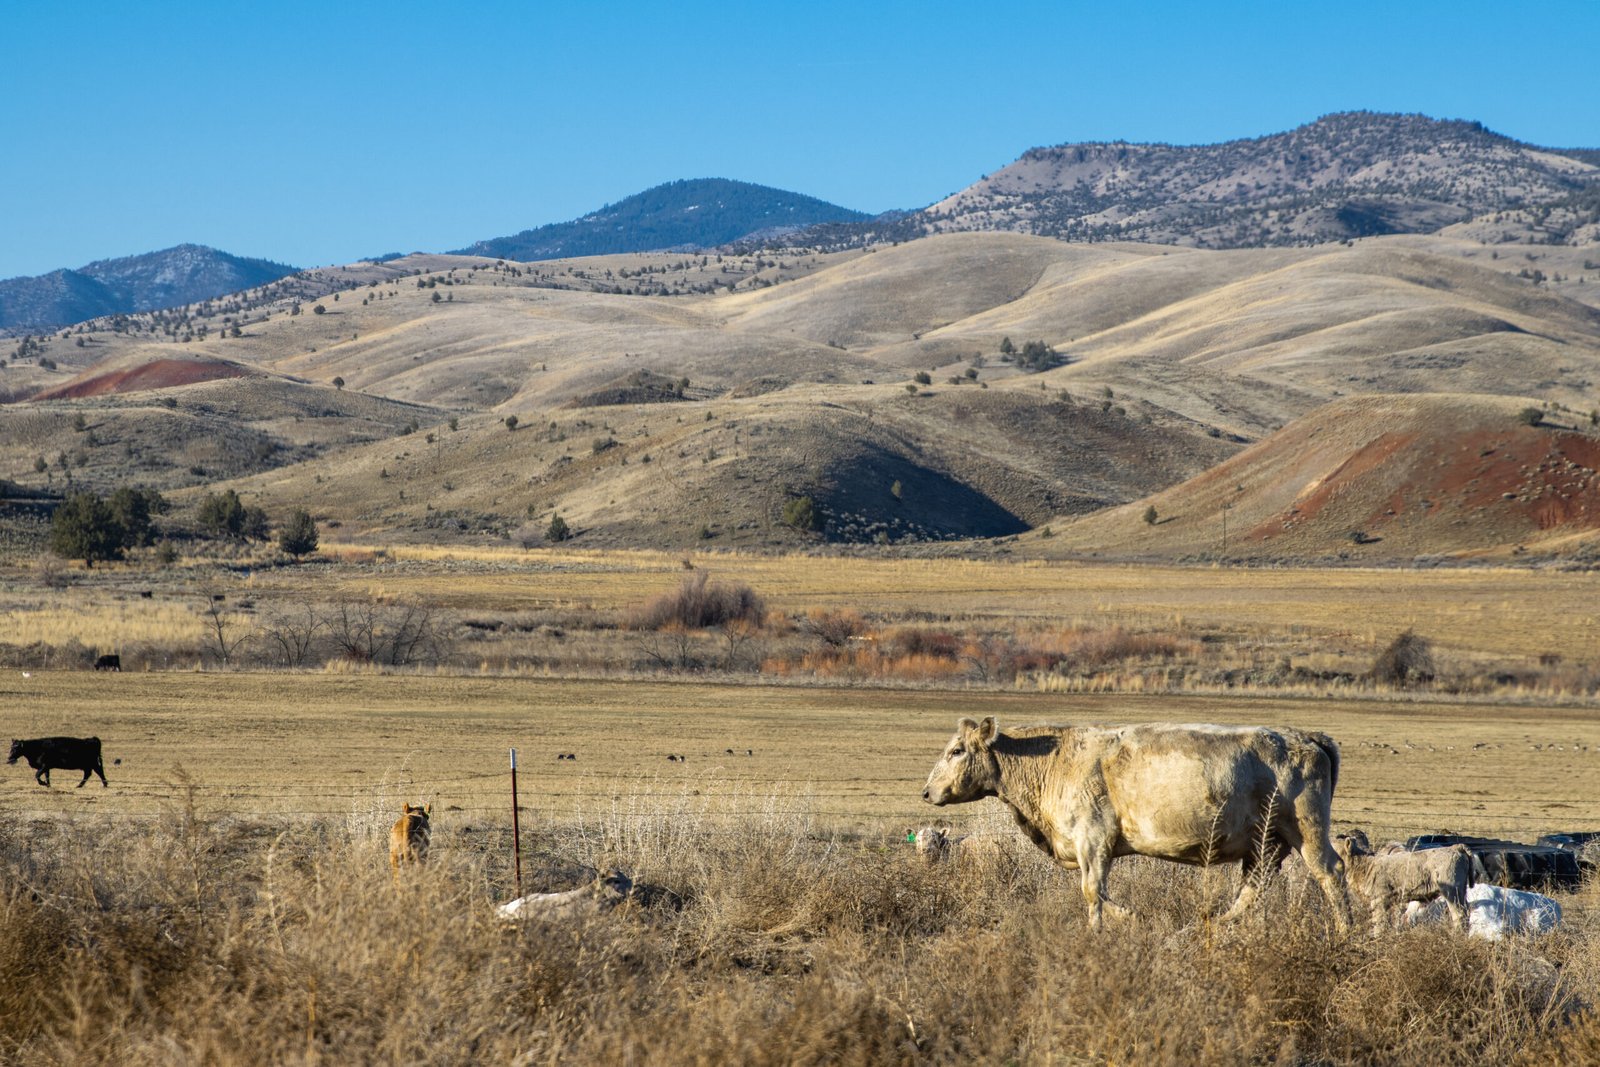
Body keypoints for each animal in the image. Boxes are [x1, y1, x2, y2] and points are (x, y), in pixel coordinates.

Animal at [923, 717, 1352, 931]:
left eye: (957, 750)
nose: (927, 792)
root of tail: (1307, 736)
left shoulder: (1092, 838)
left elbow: (1092, 891)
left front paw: (1106, 928)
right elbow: (1097, 892)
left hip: (1306, 829)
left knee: (1331, 873)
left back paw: (1348, 932)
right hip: (1265, 843)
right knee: (1252, 890)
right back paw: (1209, 926)